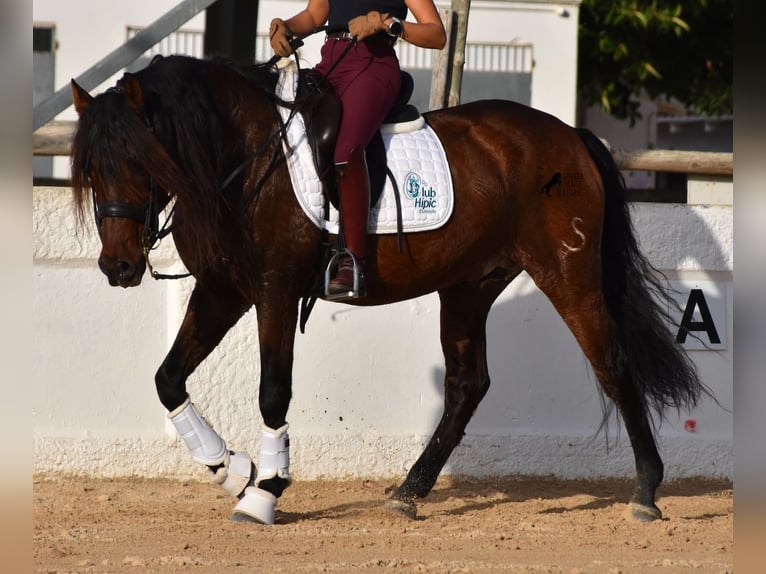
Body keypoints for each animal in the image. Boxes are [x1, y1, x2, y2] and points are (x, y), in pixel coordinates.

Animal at [70, 54, 708, 528]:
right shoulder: (222, 289)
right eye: (92, 169)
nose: (119, 267)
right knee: (467, 384)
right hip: (469, 285)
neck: (242, 159)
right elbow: (167, 378)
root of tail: (569, 134)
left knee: (612, 363)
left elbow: (273, 392)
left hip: (566, 272)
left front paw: (265, 491)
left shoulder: (274, 290)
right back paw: (409, 491)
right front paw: (230, 468)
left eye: (140, 159)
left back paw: (646, 492)